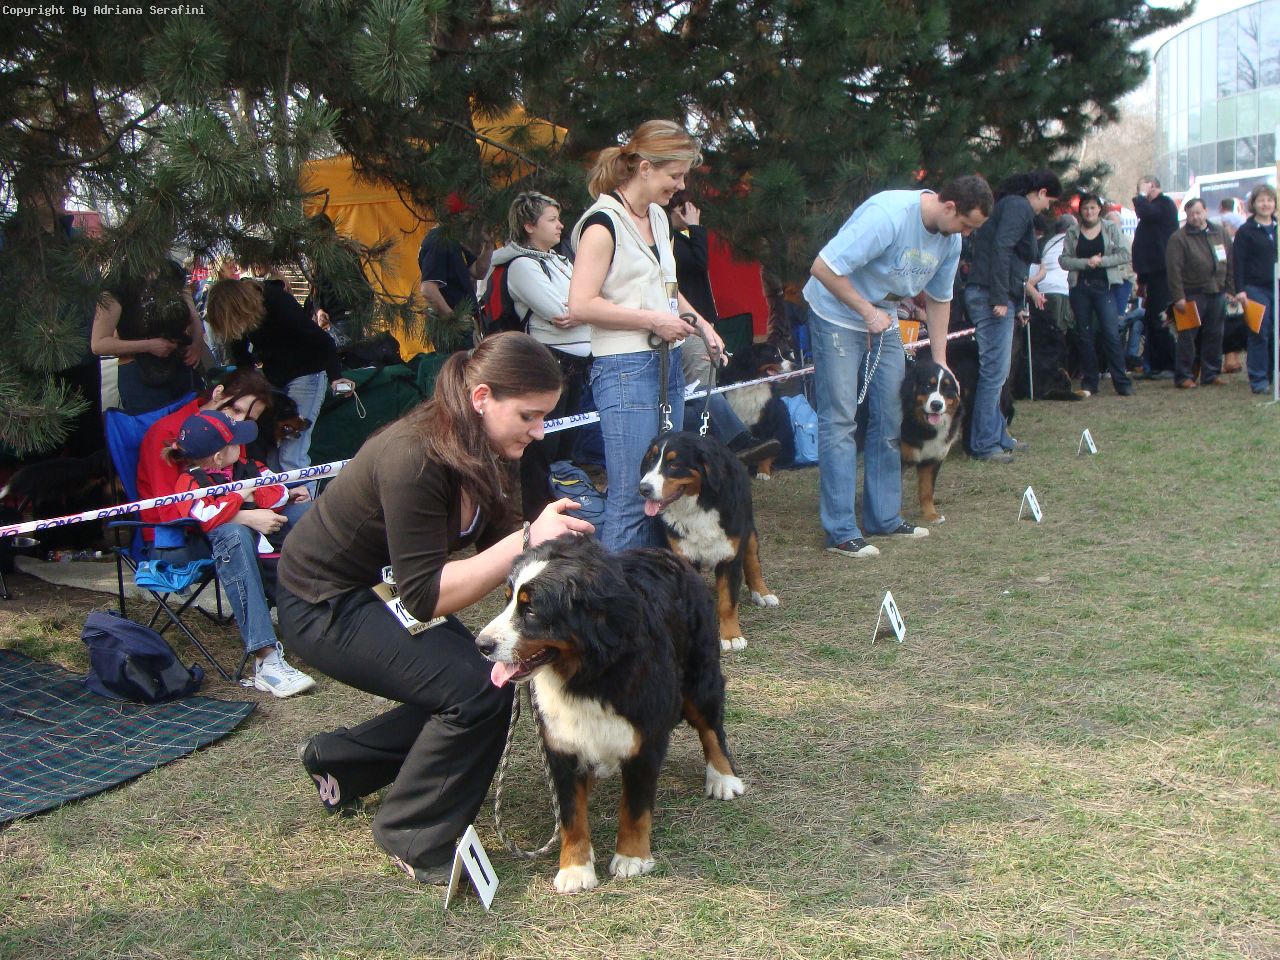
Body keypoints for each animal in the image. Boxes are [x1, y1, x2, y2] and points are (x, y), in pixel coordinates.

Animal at [476, 536, 745, 894]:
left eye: (531, 609)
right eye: (507, 599)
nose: (482, 644)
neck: (588, 676)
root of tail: (666, 554)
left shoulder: (644, 739)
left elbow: (634, 807)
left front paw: (631, 857)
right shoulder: (560, 744)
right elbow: (571, 814)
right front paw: (575, 868)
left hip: (700, 679)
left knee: (712, 728)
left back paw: (723, 778)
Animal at [638, 431, 779, 650]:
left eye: (674, 464)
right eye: (651, 459)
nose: (643, 488)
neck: (698, 505)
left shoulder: (729, 557)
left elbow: (728, 603)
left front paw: (731, 636)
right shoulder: (684, 556)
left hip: (749, 532)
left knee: (753, 563)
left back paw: (762, 593)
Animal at [900, 358, 962, 524]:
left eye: (947, 388)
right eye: (928, 385)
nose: (936, 405)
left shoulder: (931, 459)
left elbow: (927, 490)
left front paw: (931, 515)